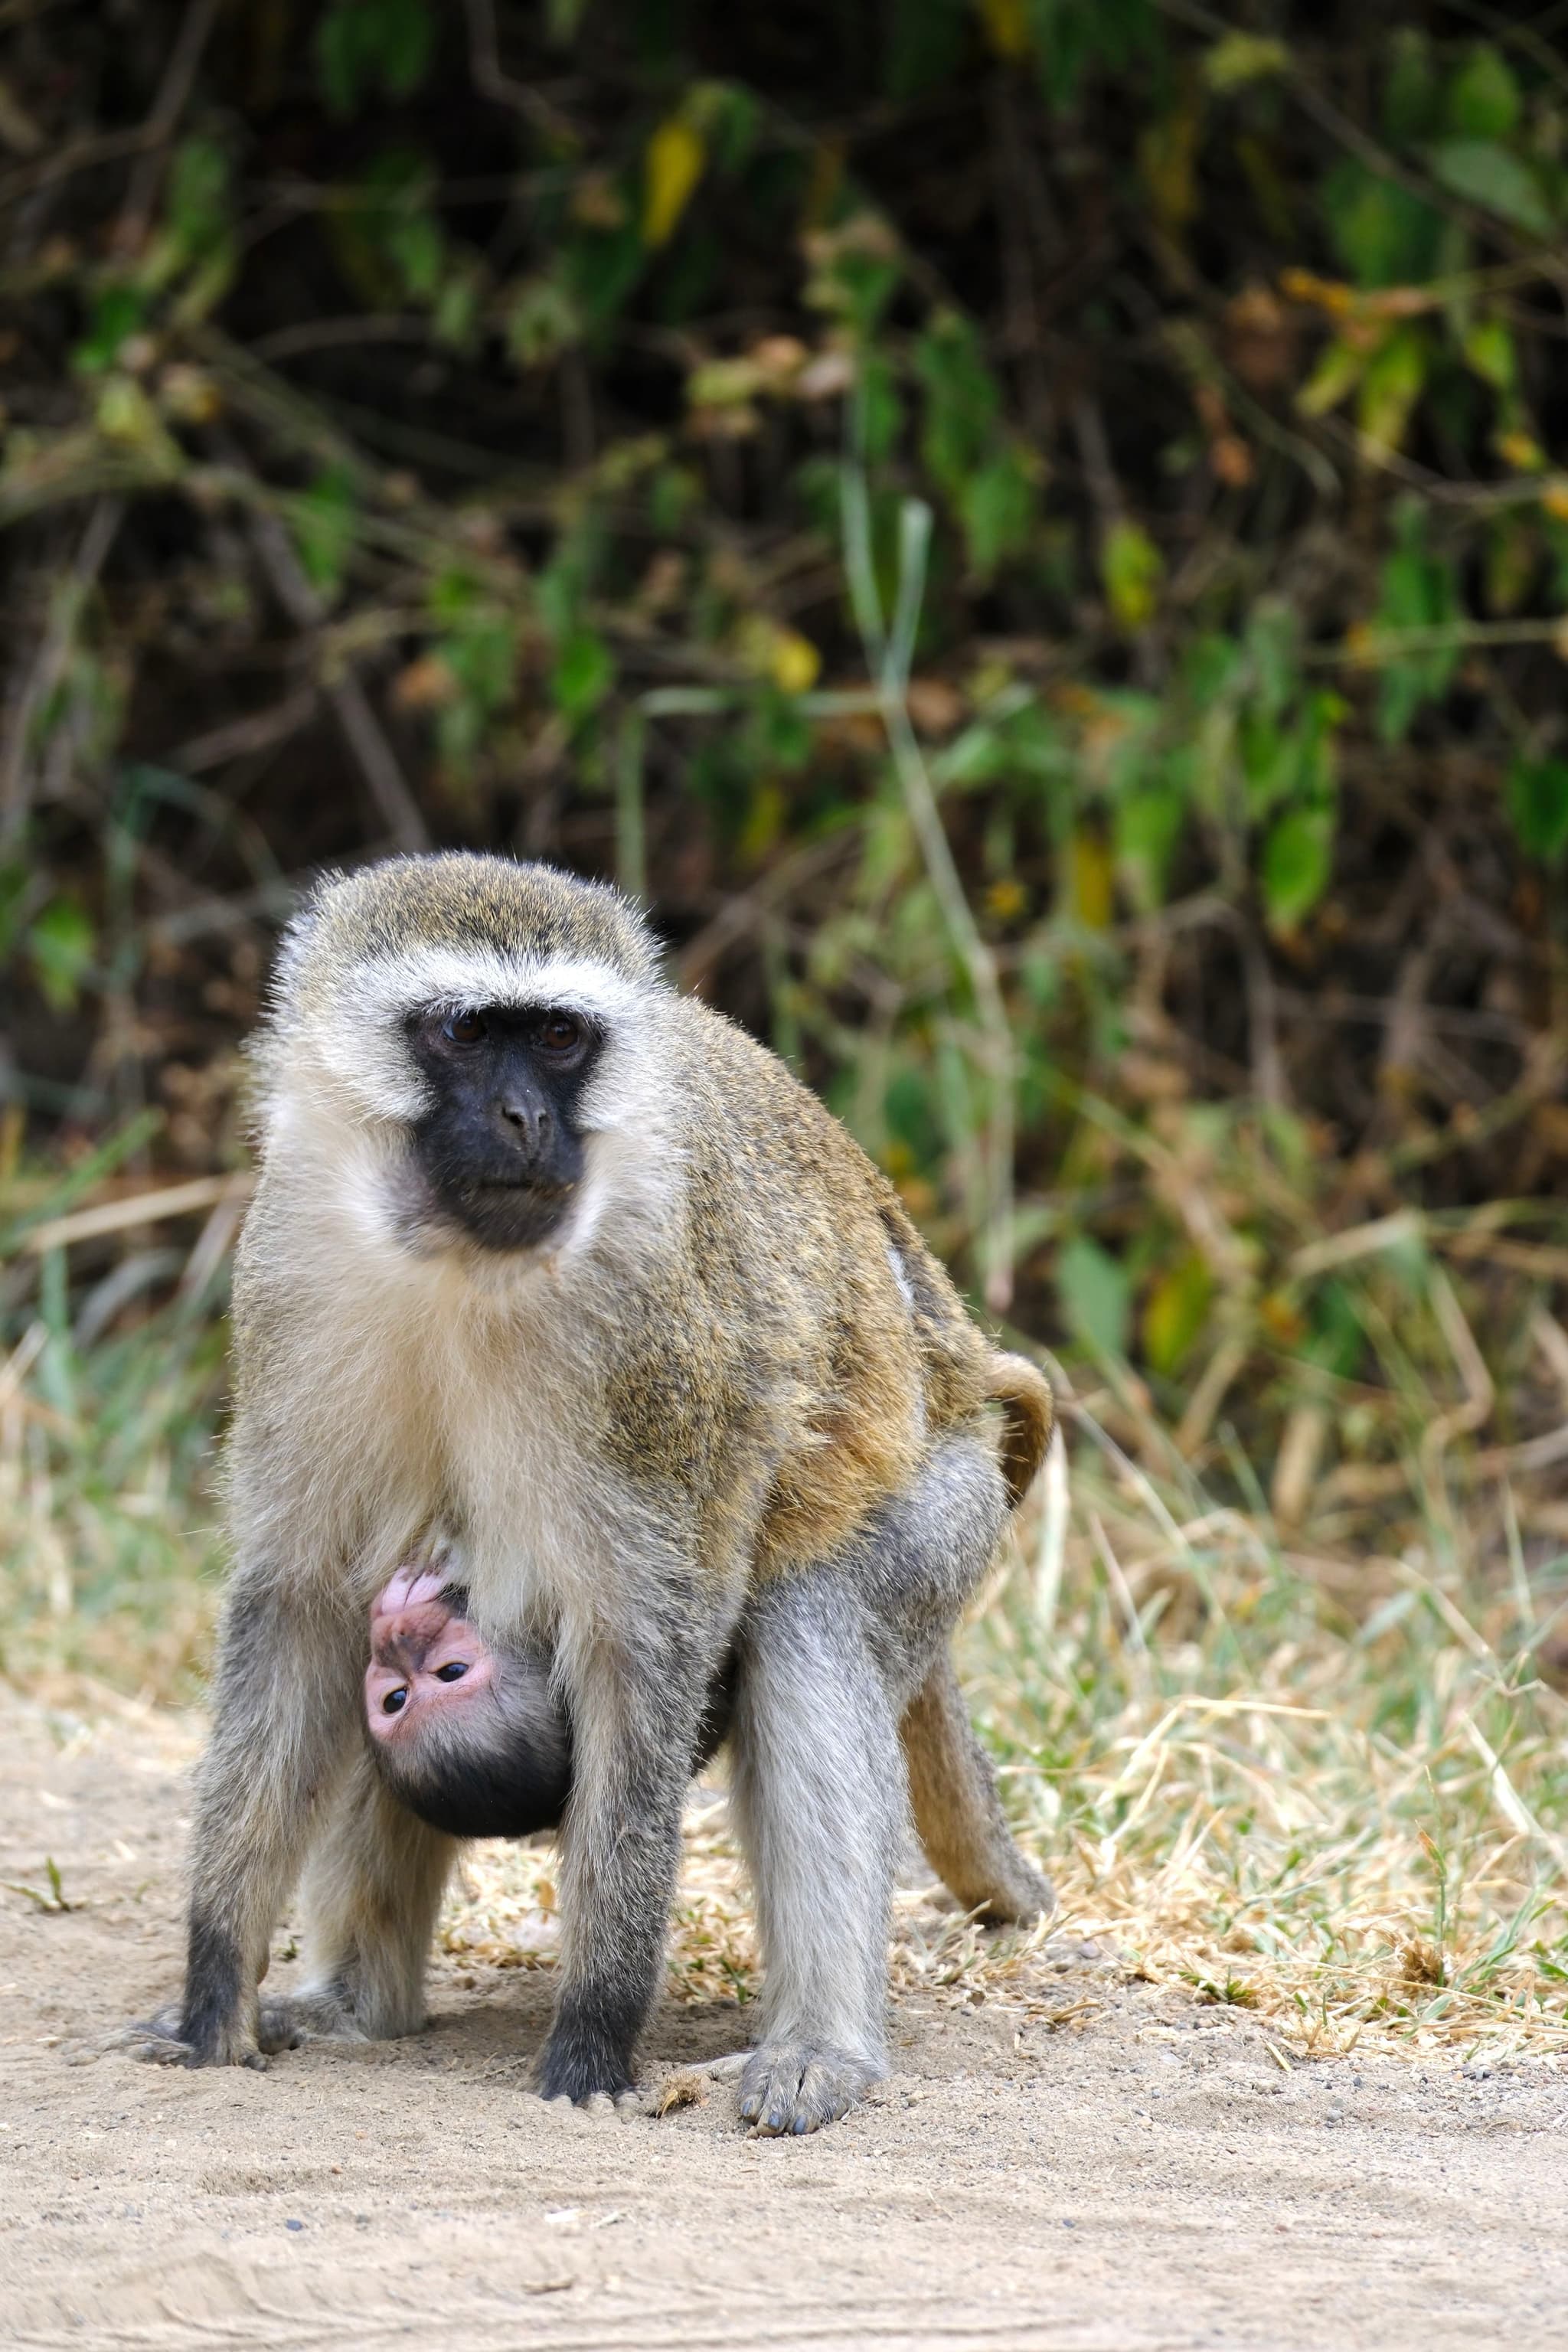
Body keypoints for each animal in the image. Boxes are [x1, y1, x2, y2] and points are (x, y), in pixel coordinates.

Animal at [133, 852, 1055, 2134]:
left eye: (562, 1038)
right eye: (469, 1034)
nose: (528, 1119)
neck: (460, 1265)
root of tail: (962, 1375)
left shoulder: (655, 1343)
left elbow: (646, 1640)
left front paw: (594, 2033)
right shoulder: (289, 1265)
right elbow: (302, 1607)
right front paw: (212, 1992)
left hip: (945, 1512)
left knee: (811, 1626)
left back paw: (820, 2047)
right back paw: (362, 2007)